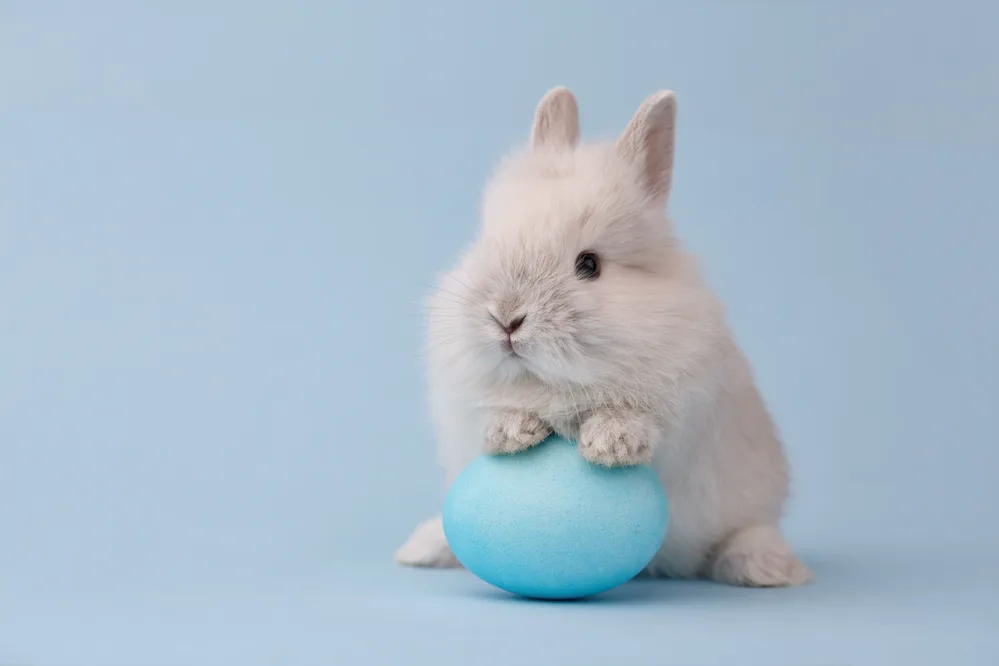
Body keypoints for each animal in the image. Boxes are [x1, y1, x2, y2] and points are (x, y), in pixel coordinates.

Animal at [395, 87, 812, 587]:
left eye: (589, 265)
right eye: (486, 244)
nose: (505, 318)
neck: (553, 384)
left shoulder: (684, 410)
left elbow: (642, 422)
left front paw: (610, 445)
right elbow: (492, 416)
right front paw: (514, 431)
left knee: (740, 533)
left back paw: (772, 567)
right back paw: (420, 548)